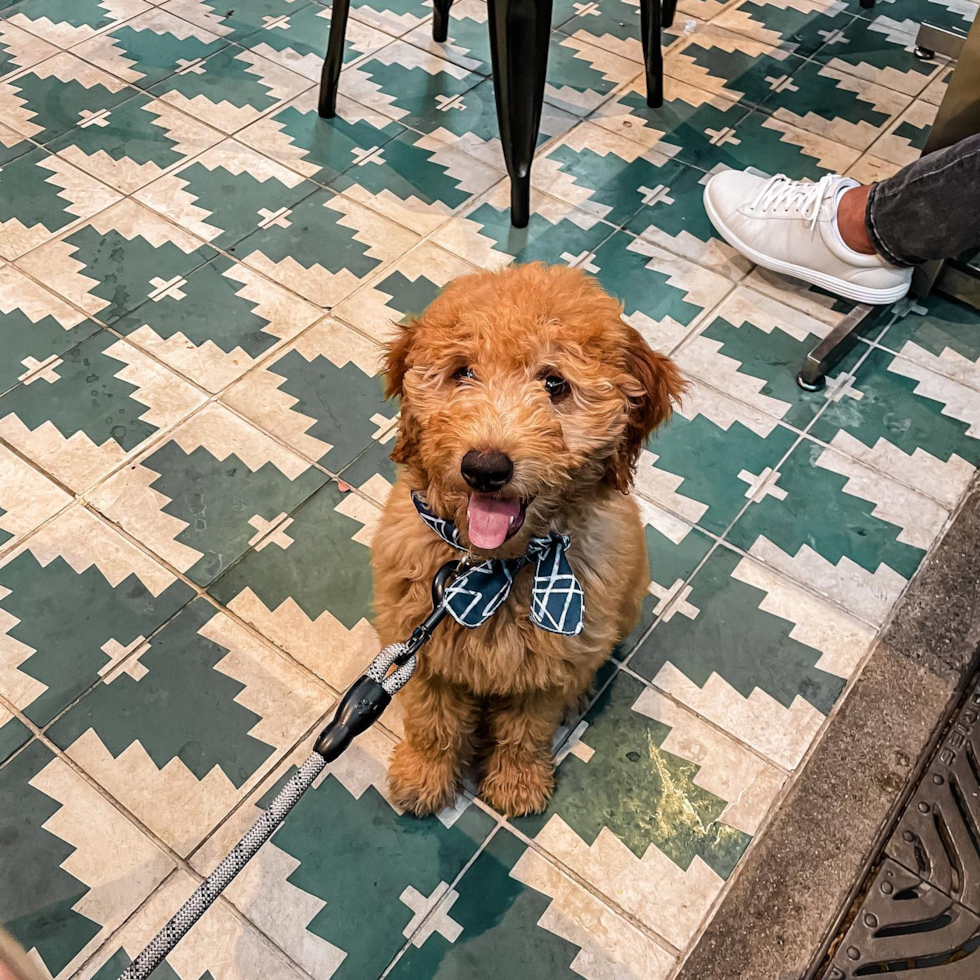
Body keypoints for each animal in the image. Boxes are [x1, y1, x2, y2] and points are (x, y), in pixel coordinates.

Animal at [372, 262, 684, 820]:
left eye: (555, 383)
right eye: (463, 372)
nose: (485, 467)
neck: (494, 569)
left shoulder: (549, 666)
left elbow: (525, 729)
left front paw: (517, 783)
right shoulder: (419, 644)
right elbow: (433, 721)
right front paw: (423, 777)